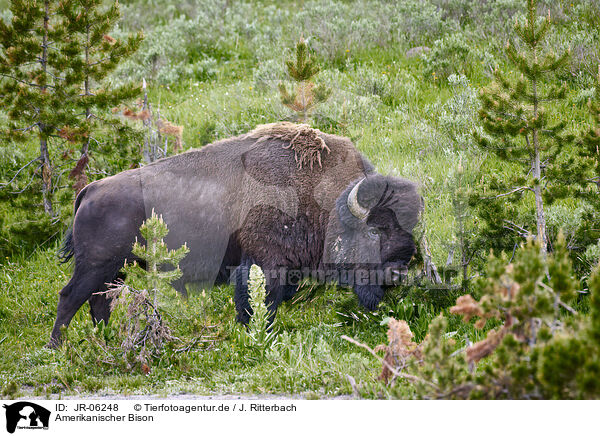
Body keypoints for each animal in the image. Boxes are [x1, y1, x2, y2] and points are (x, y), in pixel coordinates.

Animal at [48, 121, 422, 346]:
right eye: (374, 231)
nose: (399, 272)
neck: (324, 198)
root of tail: (91, 190)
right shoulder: (264, 263)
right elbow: (258, 302)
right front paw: (257, 335)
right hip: (96, 265)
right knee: (70, 298)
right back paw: (58, 348)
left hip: (115, 269)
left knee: (99, 302)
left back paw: (105, 342)